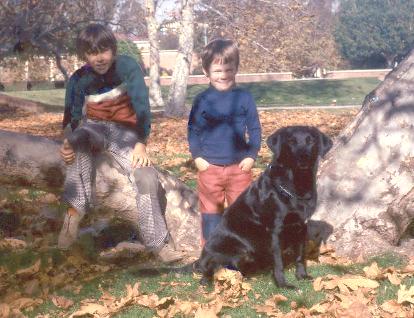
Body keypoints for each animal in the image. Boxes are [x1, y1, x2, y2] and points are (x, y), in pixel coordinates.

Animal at [194, 125, 334, 286]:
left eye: (311, 141)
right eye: (291, 141)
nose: (303, 157)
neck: (296, 186)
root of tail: (199, 261)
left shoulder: (301, 226)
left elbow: (300, 256)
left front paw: (302, 276)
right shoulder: (275, 231)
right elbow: (278, 262)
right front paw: (282, 284)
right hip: (236, 250)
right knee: (214, 271)